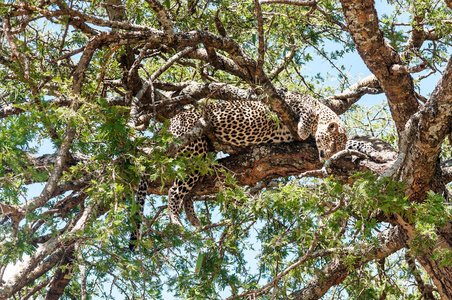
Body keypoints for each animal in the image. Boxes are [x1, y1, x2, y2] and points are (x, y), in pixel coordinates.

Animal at [130, 92, 346, 244]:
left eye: (339, 148)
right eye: (335, 143)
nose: (329, 157)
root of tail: (170, 122)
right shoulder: (286, 101)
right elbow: (307, 111)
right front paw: (303, 129)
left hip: (199, 156)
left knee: (188, 190)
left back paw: (193, 218)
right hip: (193, 146)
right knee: (175, 190)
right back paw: (175, 220)